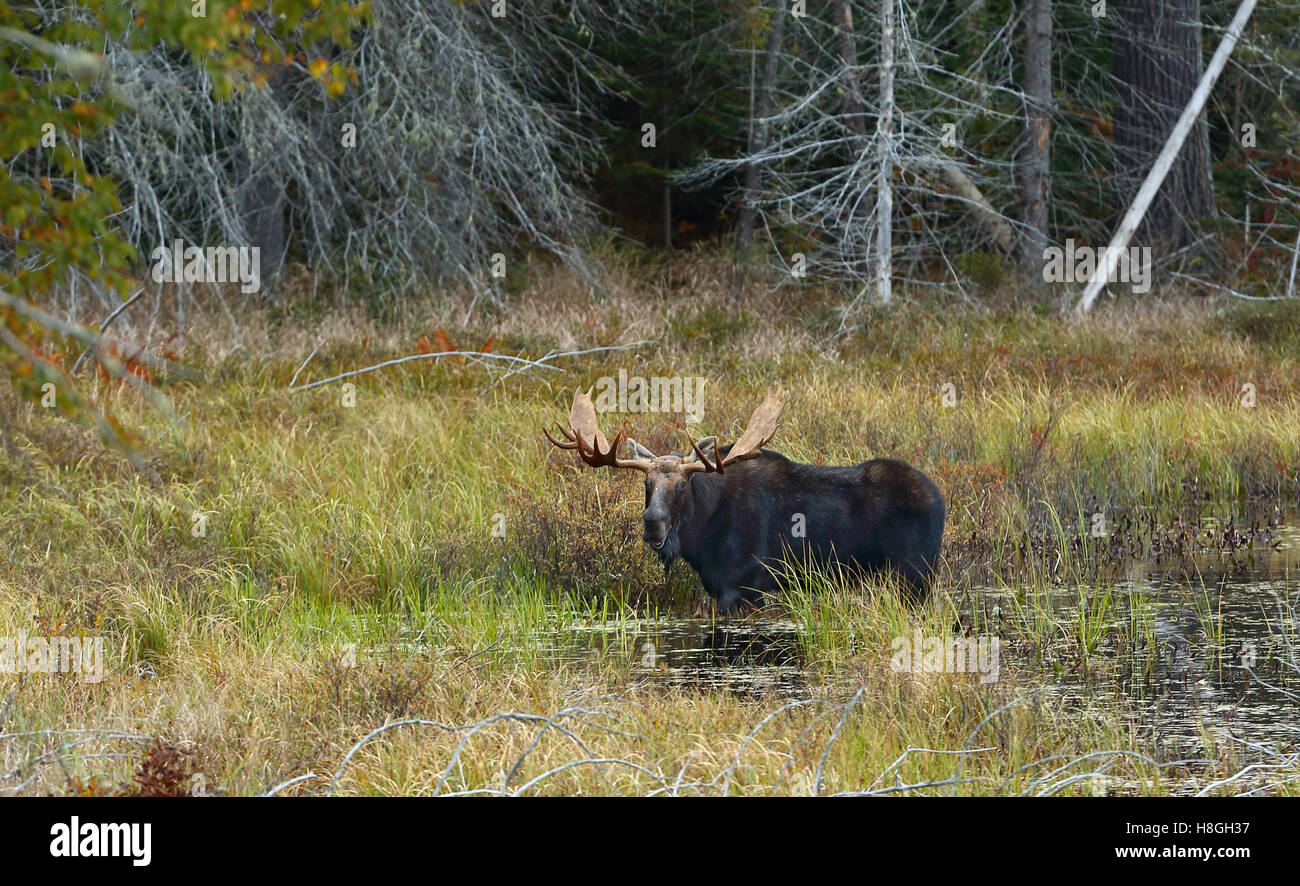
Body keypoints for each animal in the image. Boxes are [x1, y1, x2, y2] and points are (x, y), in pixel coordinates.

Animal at [546, 389, 946, 610]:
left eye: (681, 486)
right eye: (646, 482)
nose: (653, 524)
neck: (700, 539)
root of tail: (941, 499)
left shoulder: (743, 587)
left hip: (914, 574)